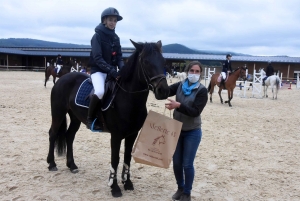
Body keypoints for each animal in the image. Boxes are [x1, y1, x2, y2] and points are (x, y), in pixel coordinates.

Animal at [46, 39, 170, 198]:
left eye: (163, 61)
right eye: (146, 62)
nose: (163, 91)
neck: (128, 98)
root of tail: (62, 78)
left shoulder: (132, 135)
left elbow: (127, 157)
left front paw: (127, 183)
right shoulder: (116, 136)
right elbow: (115, 159)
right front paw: (114, 187)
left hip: (75, 118)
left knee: (69, 136)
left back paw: (72, 165)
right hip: (58, 113)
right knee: (53, 134)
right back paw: (52, 164)